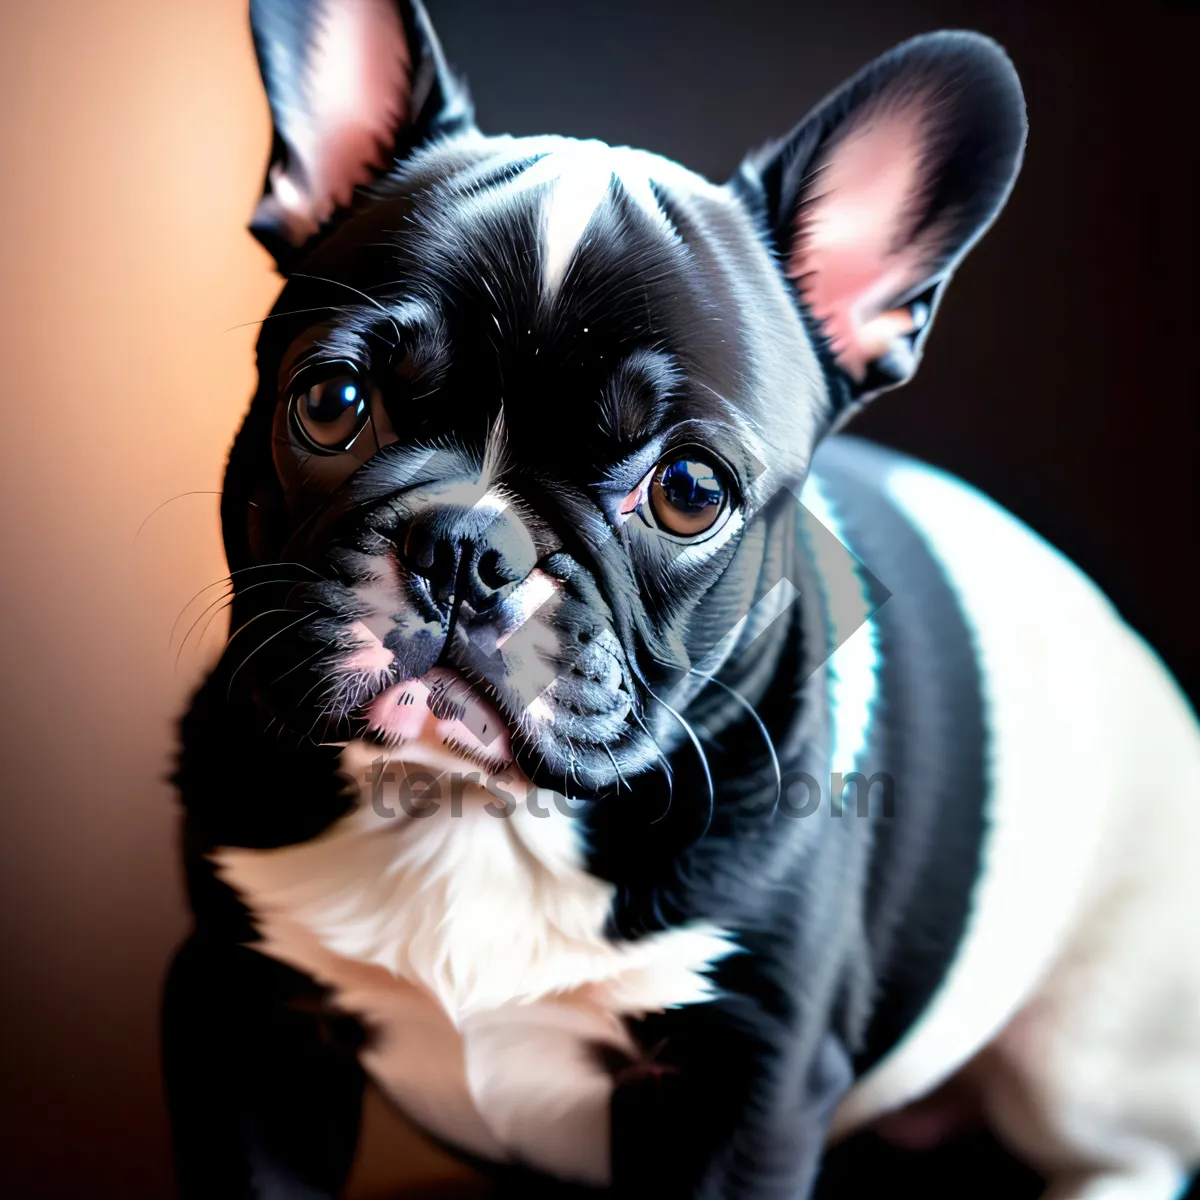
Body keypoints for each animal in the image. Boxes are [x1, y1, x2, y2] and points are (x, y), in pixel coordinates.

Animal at [164, 2, 1200, 1200]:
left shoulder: (746, 1077)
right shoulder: (244, 1012)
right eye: (331, 402)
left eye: (689, 492)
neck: (475, 816)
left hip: (1094, 1047)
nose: (466, 547)